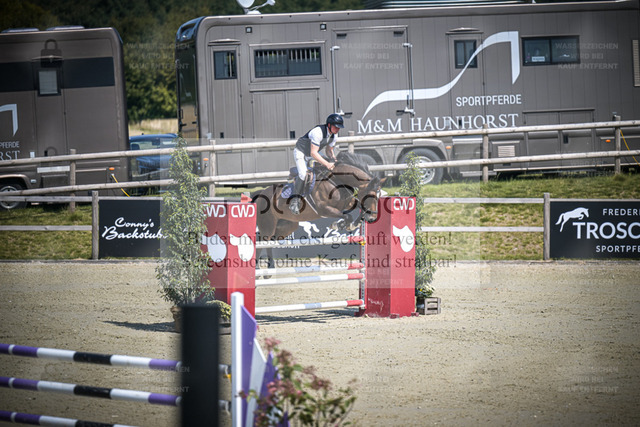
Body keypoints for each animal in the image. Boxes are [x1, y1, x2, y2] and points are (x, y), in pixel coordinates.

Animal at [251, 152, 386, 267]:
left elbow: (357, 207)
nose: (373, 218)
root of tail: (260, 194)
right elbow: (347, 216)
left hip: (286, 227)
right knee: (262, 241)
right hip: (268, 225)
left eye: (379, 195)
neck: (337, 180)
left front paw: (353, 224)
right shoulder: (324, 209)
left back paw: (269, 269)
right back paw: (258, 268)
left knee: (270, 242)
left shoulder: (348, 203)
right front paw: (339, 225)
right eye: (371, 196)